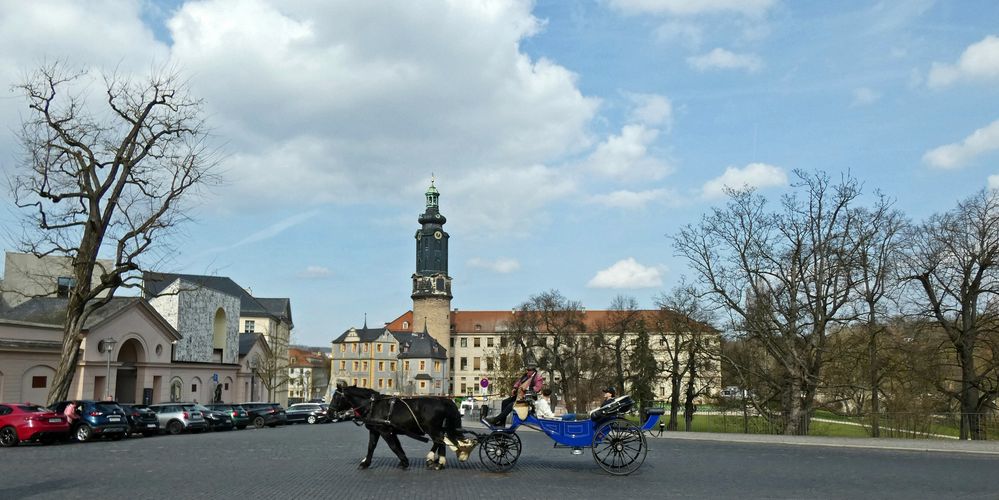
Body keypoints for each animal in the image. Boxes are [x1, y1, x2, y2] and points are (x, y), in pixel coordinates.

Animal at [330, 382, 478, 468]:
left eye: (336, 397)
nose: (329, 413)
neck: (373, 405)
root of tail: (443, 401)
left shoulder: (384, 430)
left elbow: (393, 446)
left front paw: (404, 461)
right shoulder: (377, 430)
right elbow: (373, 446)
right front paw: (366, 462)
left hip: (431, 428)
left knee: (438, 440)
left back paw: (432, 458)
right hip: (437, 428)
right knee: (442, 441)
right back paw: (439, 461)